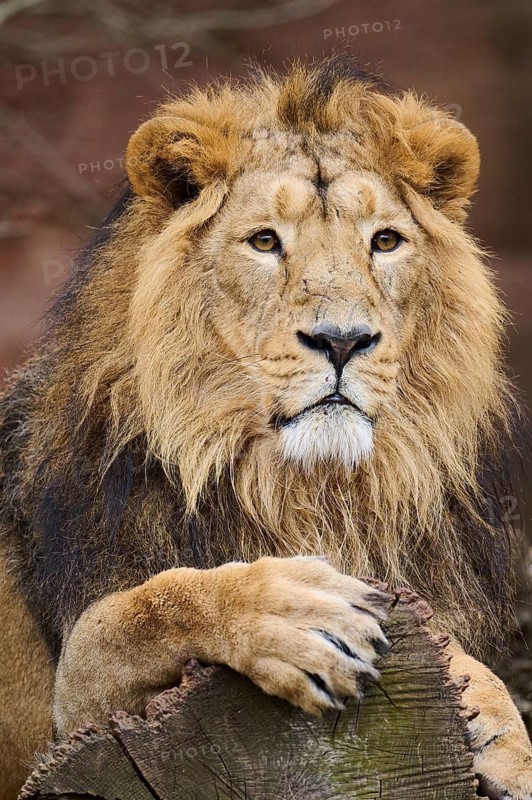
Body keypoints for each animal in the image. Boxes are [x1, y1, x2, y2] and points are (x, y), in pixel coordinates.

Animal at [0, 56, 531, 799]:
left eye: (385, 241)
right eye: (264, 242)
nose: (342, 340)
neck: (298, 488)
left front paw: (502, 730)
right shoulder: (69, 727)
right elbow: (138, 609)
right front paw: (295, 611)